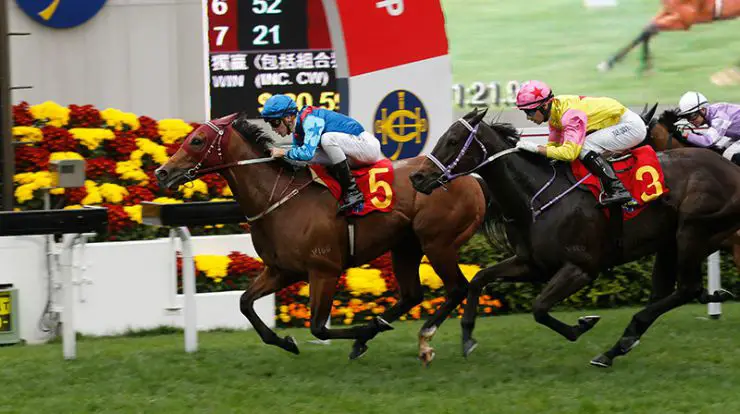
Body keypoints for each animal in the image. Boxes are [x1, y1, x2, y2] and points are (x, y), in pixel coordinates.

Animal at [153, 111, 488, 364]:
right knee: (413, 295)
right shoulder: (282, 270)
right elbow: (245, 303)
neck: (280, 199)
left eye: (197, 140)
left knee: (457, 288)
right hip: (406, 246)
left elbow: (318, 328)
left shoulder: (324, 270)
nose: (162, 172)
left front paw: (361, 332)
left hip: (438, 243)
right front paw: (286, 341)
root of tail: (470, 178)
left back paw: (422, 341)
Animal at [600, 0, 736, 74]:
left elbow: (650, 28)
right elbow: (647, 29)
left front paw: (646, 69)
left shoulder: (685, 20)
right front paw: (609, 62)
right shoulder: (669, 10)